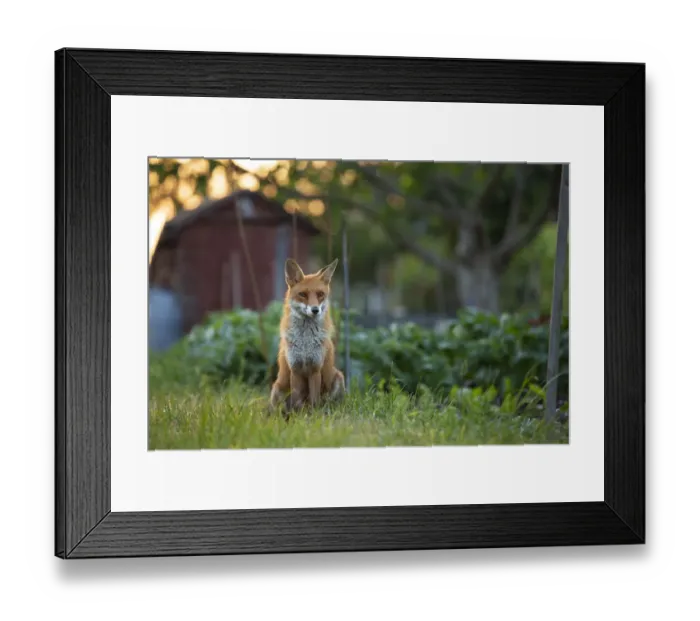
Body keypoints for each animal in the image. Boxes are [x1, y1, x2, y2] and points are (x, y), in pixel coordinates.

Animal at [270, 257, 346, 412]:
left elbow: (314, 401)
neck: (305, 340)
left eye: (320, 294)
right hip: (278, 389)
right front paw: (297, 416)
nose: (315, 310)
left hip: (338, 378)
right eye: (303, 294)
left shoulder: (315, 369)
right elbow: (296, 401)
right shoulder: (295, 369)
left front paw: (314, 415)